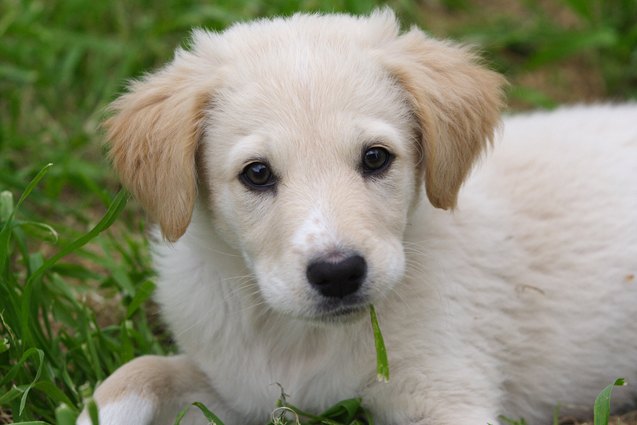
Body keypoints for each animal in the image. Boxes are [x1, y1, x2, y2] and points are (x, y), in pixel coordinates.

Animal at [79, 7, 636, 424]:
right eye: (256, 173)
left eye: (375, 158)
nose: (338, 273)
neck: (301, 340)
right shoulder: (242, 391)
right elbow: (142, 370)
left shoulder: (446, 388)